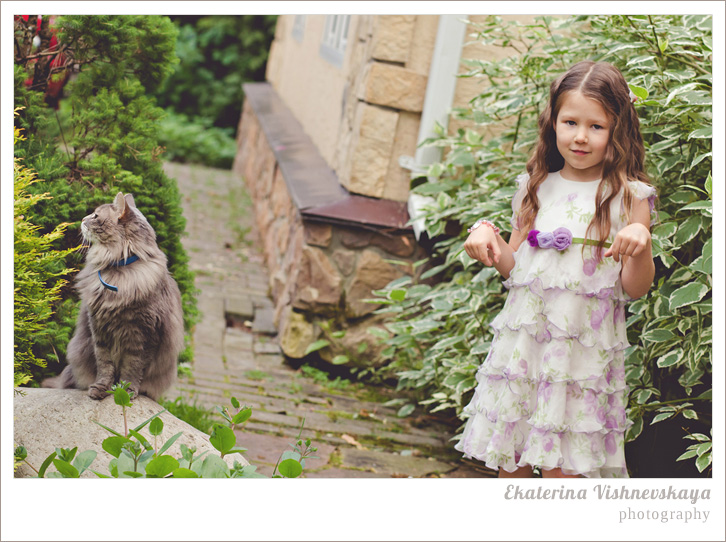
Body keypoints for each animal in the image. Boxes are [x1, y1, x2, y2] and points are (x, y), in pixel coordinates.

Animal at [43, 193, 185, 402]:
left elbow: (132, 368)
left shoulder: (145, 334)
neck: (118, 271)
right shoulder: (99, 330)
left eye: (95, 216)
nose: (82, 219)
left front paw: (126, 391)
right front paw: (100, 389)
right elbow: (105, 366)